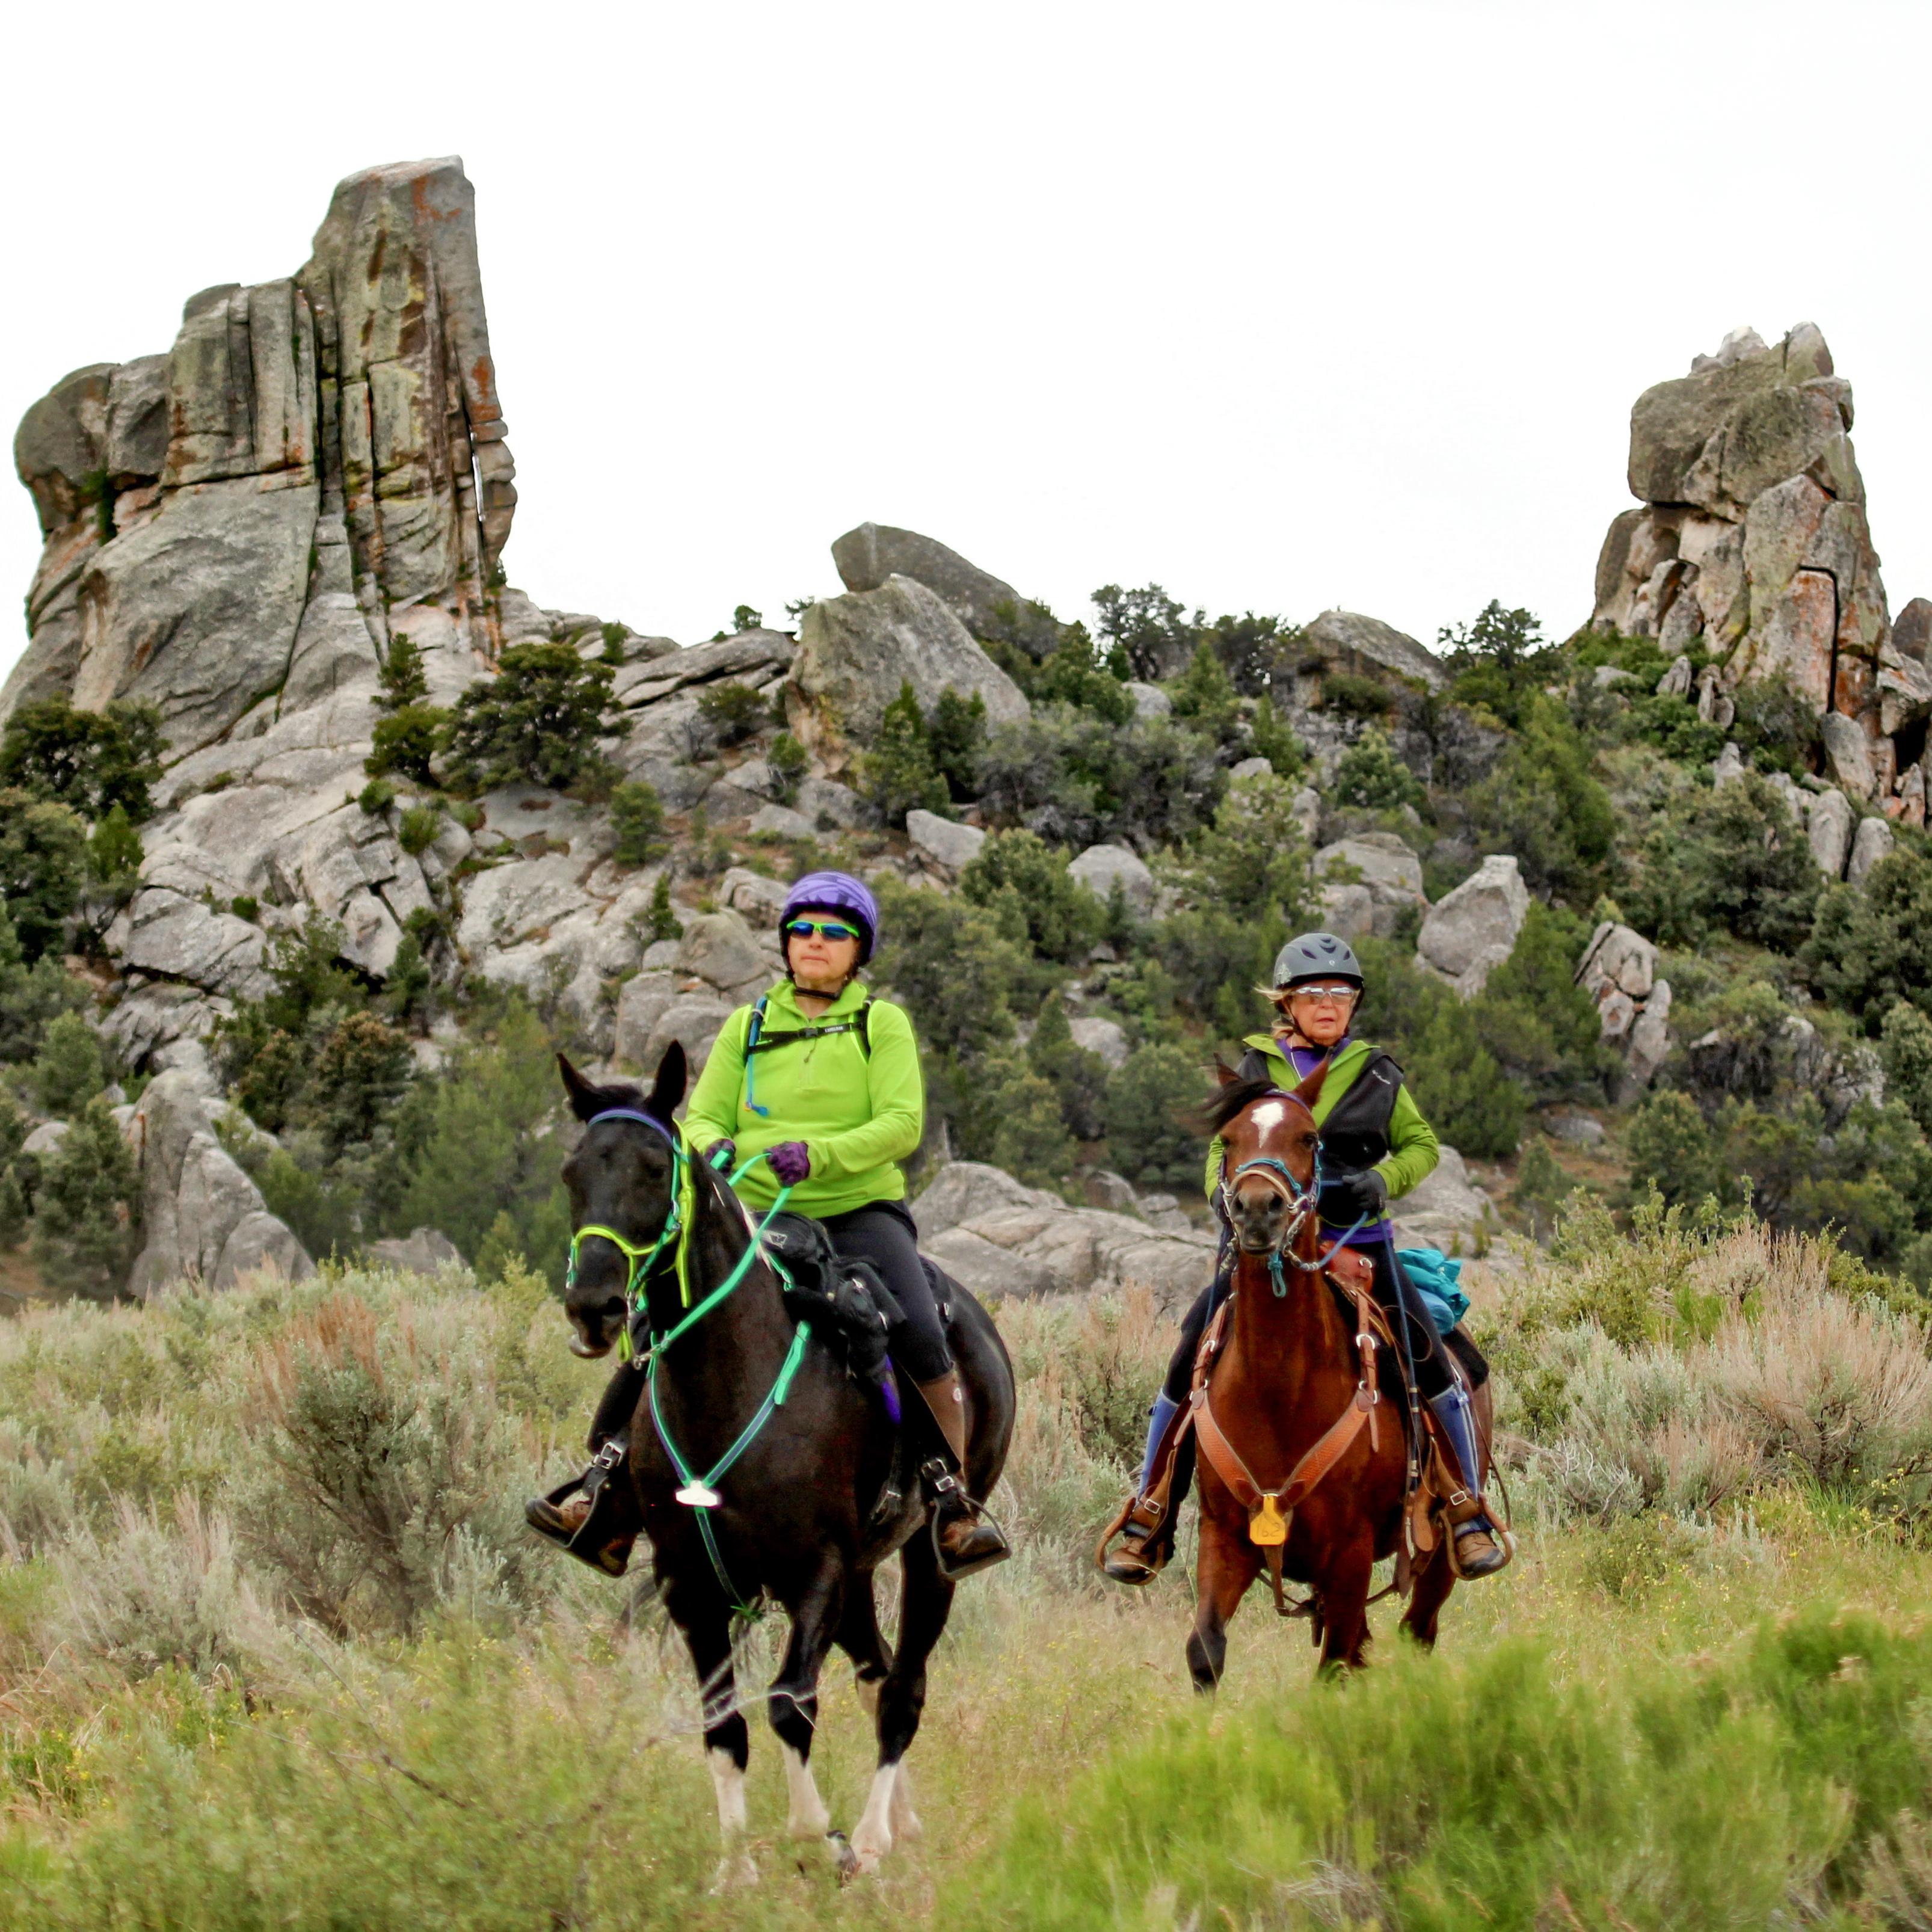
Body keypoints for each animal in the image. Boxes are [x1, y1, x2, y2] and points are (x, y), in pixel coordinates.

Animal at [556, 1051, 1020, 1878]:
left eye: (654, 1168)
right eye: (572, 1170)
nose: (595, 1305)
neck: (729, 1382)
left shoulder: (814, 1571)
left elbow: (788, 1703)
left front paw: (819, 1836)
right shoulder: (689, 1583)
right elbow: (723, 1725)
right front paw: (733, 1869)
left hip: (927, 1557)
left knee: (902, 1688)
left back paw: (870, 1839)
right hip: (863, 1572)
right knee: (875, 1671)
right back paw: (900, 1824)